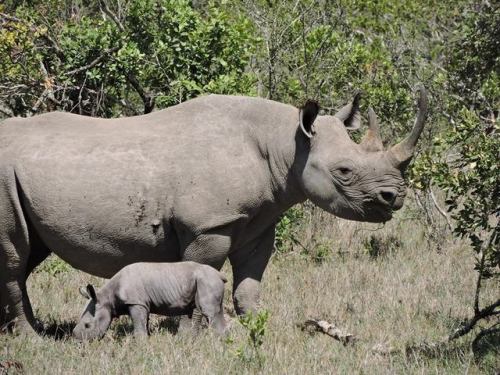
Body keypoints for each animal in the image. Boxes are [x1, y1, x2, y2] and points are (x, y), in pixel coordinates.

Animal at [71, 262, 228, 340]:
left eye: (87, 325)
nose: (79, 342)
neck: (106, 297)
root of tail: (220, 275)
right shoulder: (142, 303)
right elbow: (143, 322)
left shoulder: (136, 302)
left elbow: (139, 326)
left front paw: (140, 344)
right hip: (204, 280)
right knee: (215, 311)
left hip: (207, 280)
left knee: (210, 312)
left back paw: (215, 344)